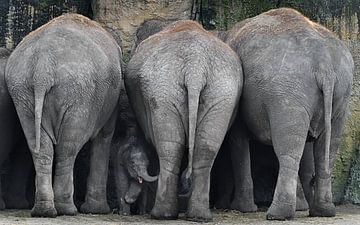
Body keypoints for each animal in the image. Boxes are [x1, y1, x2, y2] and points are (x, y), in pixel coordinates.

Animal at [126, 20, 242, 221]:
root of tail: (195, 67)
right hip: (220, 91)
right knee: (205, 147)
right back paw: (198, 216)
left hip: (167, 89)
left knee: (170, 147)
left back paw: (161, 215)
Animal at [222, 8, 354, 220]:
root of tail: (324, 64)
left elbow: (237, 140)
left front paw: (241, 208)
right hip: (340, 92)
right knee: (328, 147)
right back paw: (323, 211)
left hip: (288, 93)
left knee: (289, 150)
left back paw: (277, 214)